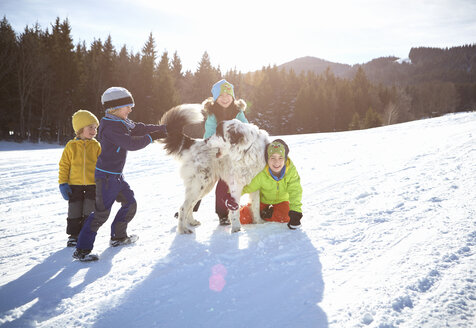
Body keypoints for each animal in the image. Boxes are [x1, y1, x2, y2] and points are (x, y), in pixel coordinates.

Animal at [160, 103, 270, 233]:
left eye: (218, 133)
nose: (207, 140)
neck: (247, 150)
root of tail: (193, 143)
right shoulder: (235, 187)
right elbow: (235, 210)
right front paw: (236, 228)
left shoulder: (256, 186)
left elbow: (256, 205)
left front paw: (259, 222)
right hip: (198, 185)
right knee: (183, 207)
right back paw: (183, 229)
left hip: (205, 186)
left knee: (190, 206)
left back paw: (191, 222)